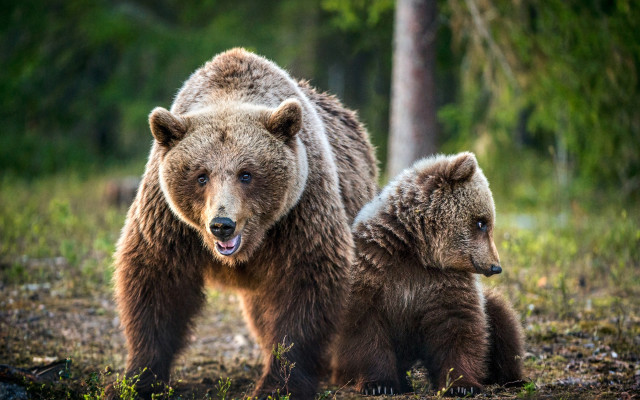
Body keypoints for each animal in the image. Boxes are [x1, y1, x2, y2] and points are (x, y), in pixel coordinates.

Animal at [112, 48, 378, 399]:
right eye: (201, 175)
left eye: (246, 173)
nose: (222, 224)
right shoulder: (168, 220)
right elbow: (155, 283)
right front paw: (138, 379)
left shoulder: (301, 211)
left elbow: (307, 284)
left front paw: (279, 383)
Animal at [331, 152, 524, 397]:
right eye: (482, 222)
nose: (495, 266)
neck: (417, 250)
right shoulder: (374, 267)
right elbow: (364, 325)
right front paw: (379, 384)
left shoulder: (444, 281)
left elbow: (458, 325)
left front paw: (461, 385)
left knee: (502, 318)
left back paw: (510, 378)